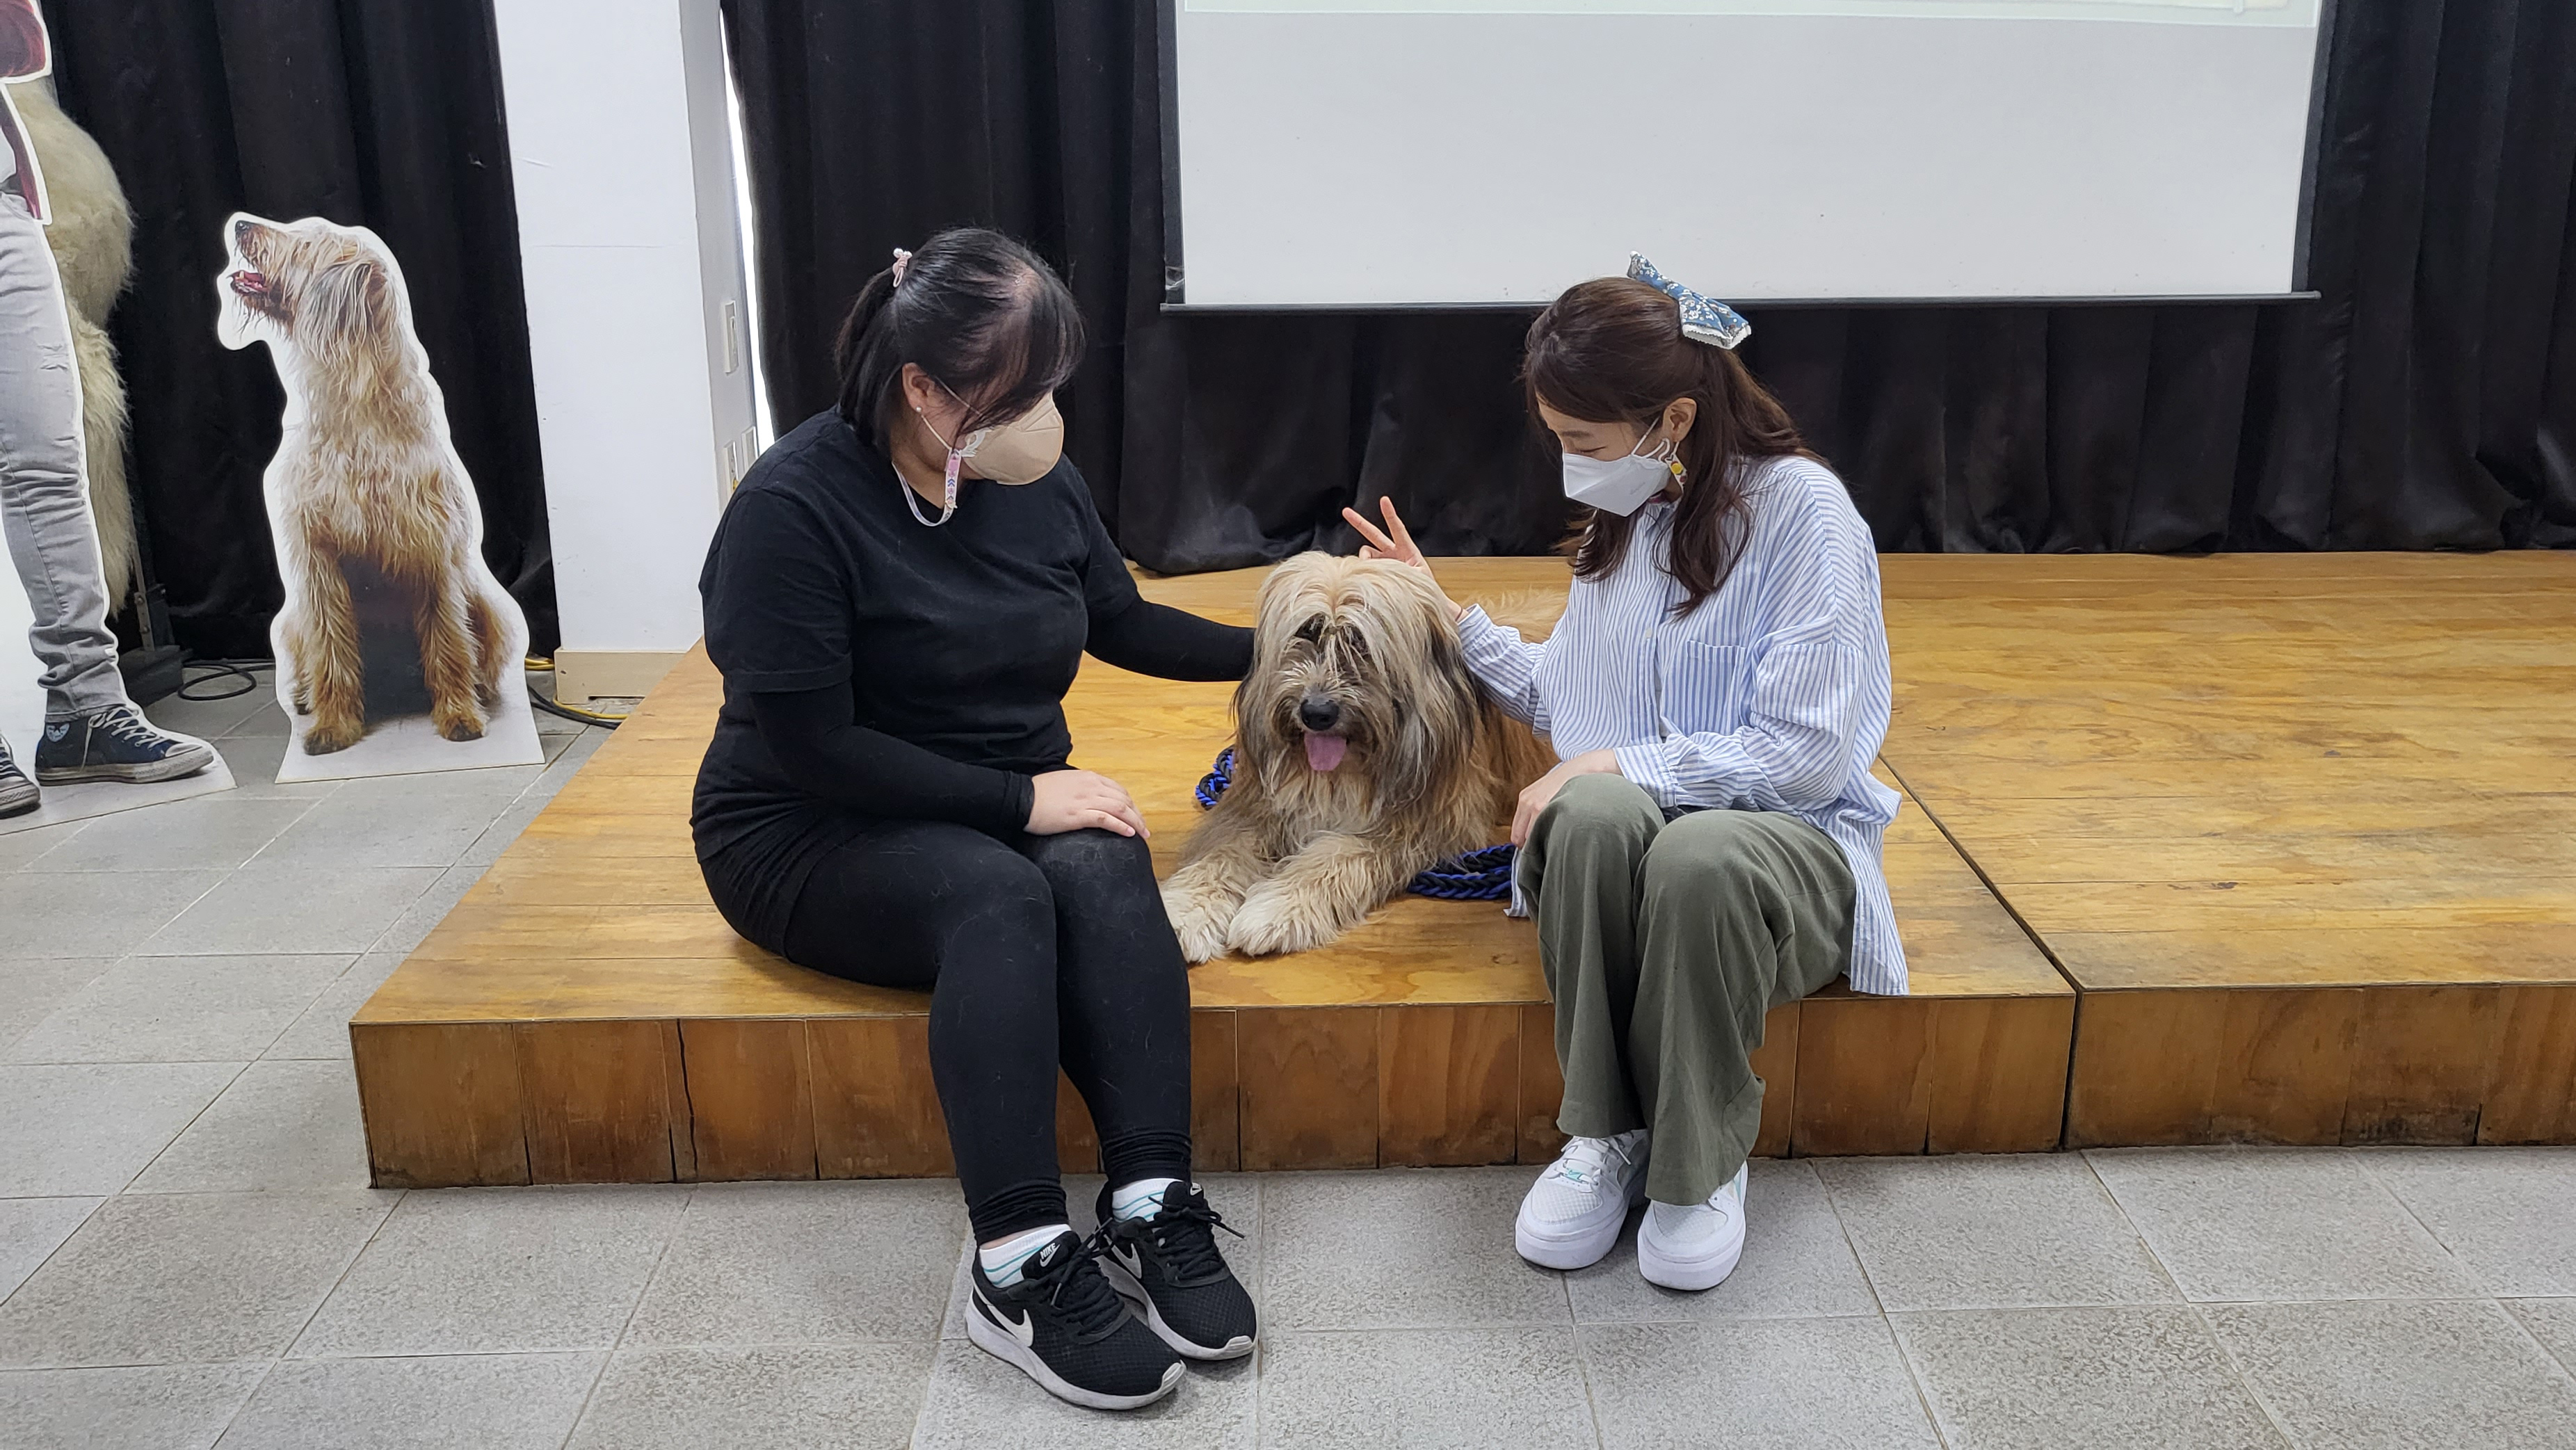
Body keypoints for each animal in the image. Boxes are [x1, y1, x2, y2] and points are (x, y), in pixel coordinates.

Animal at [217, 213, 515, 754]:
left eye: (304, 241)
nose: (242, 223)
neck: (355, 413)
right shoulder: (319, 558)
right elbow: (332, 646)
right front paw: (334, 724)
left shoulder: (430, 551)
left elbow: (447, 640)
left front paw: (459, 712)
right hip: (293, 623)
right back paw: (306, 698)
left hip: (486, 604)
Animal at [1160, 553, 1556, 961]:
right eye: (1308, 632)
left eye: (1361, 643)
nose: (1317, 713)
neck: (1343, 770)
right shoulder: (1255, 808)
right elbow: (1221, 855)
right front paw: (1186, 912)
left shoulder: (1420, 822)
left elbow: (1335, 855)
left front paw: (1279, 909)